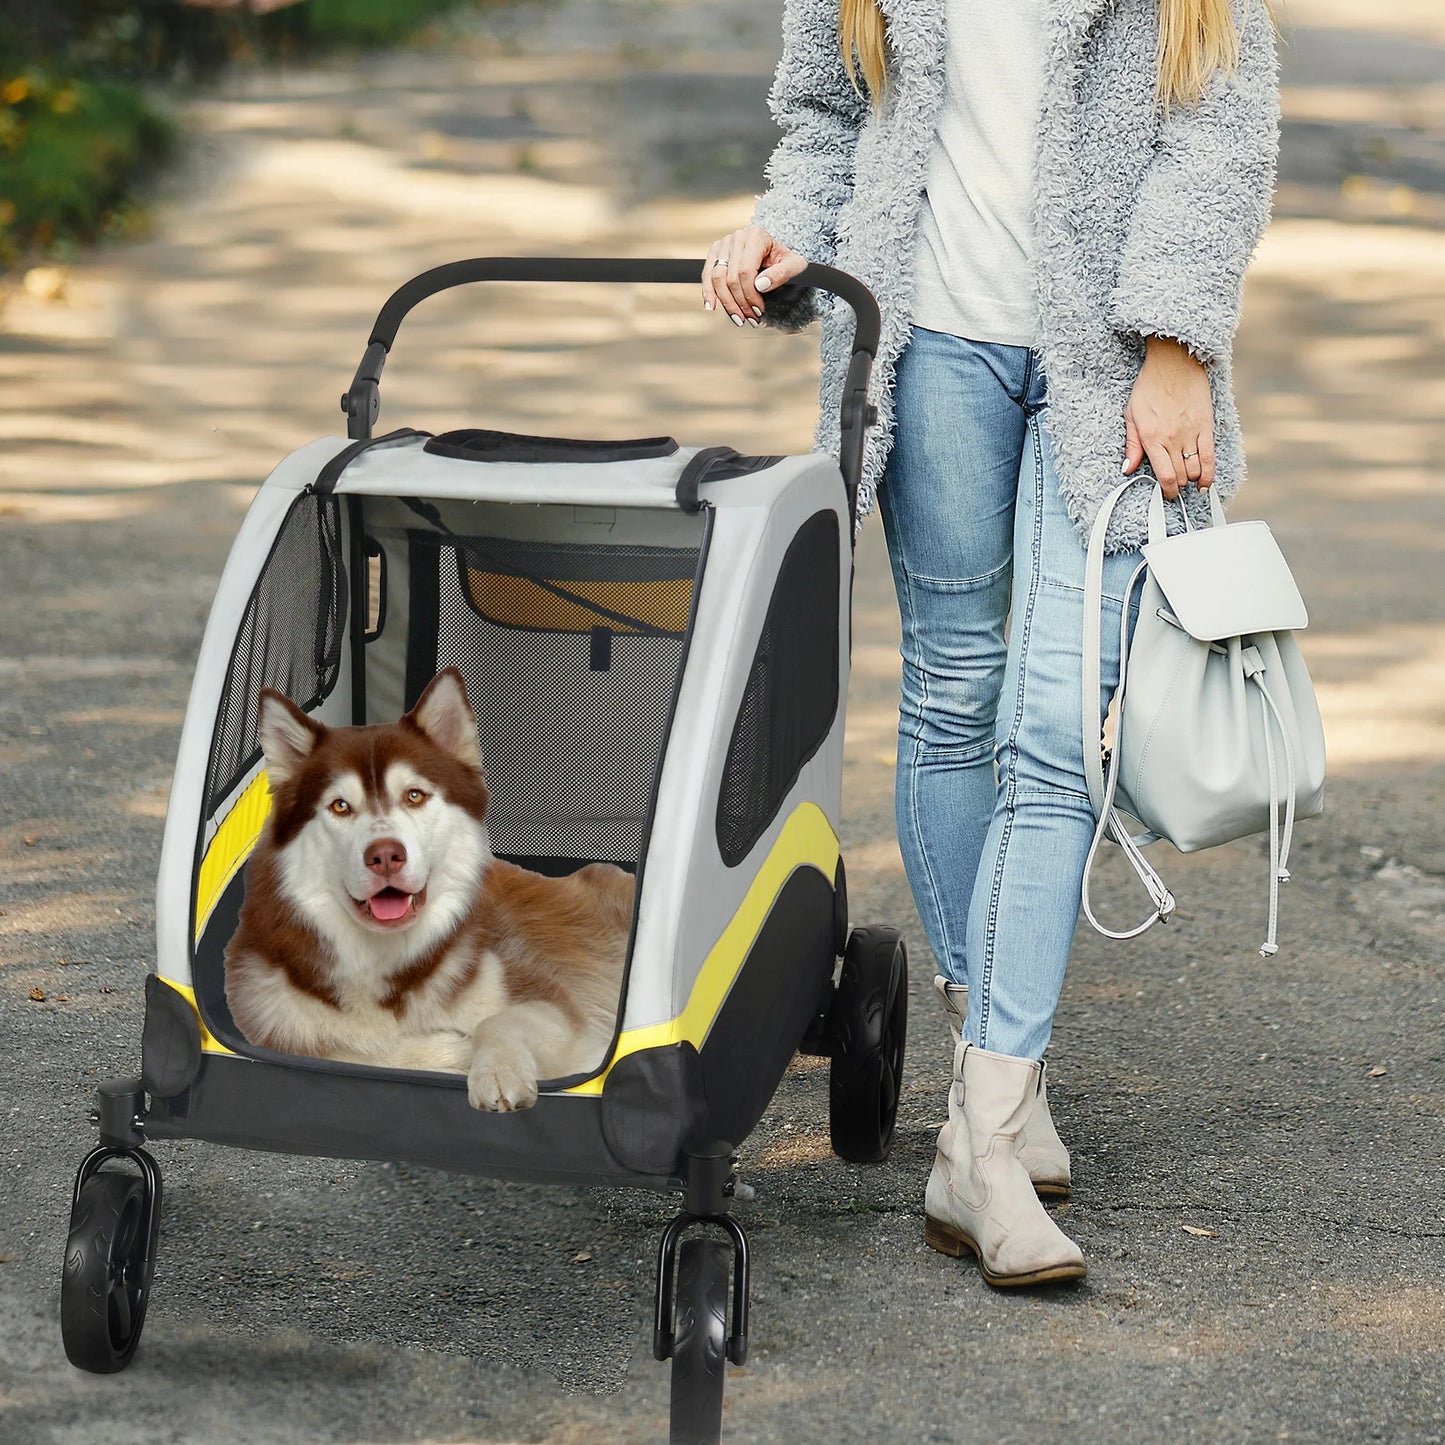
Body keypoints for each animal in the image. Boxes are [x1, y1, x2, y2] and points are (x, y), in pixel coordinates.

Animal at [223, 670, 632, 1109]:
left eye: (414, 795)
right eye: (340, 806)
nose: (385, 855)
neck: (386, 960)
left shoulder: (552, 1004)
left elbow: (497, 1022)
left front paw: (496, 1072)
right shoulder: (275, 1020)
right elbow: (360, 1054)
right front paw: (449, 1052)